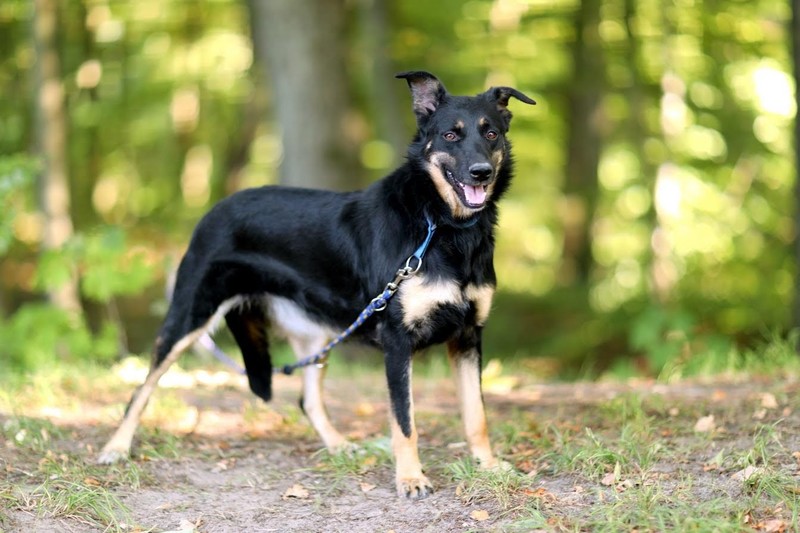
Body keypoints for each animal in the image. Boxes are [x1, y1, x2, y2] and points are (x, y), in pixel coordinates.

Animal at [100, 71, 536, 498]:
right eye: (450, 135)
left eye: (491, 133)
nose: (482, 172)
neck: (442, 226)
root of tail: (215, 209)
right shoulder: (398, 342)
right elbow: (405, 421)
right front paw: (411, 479)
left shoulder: (468, 336)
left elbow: (476, 415)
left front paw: (489, 467)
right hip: (189, 317)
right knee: (141, 389)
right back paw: (115, 448)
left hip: (317, 335)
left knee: (307, 399)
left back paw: (340, 446)